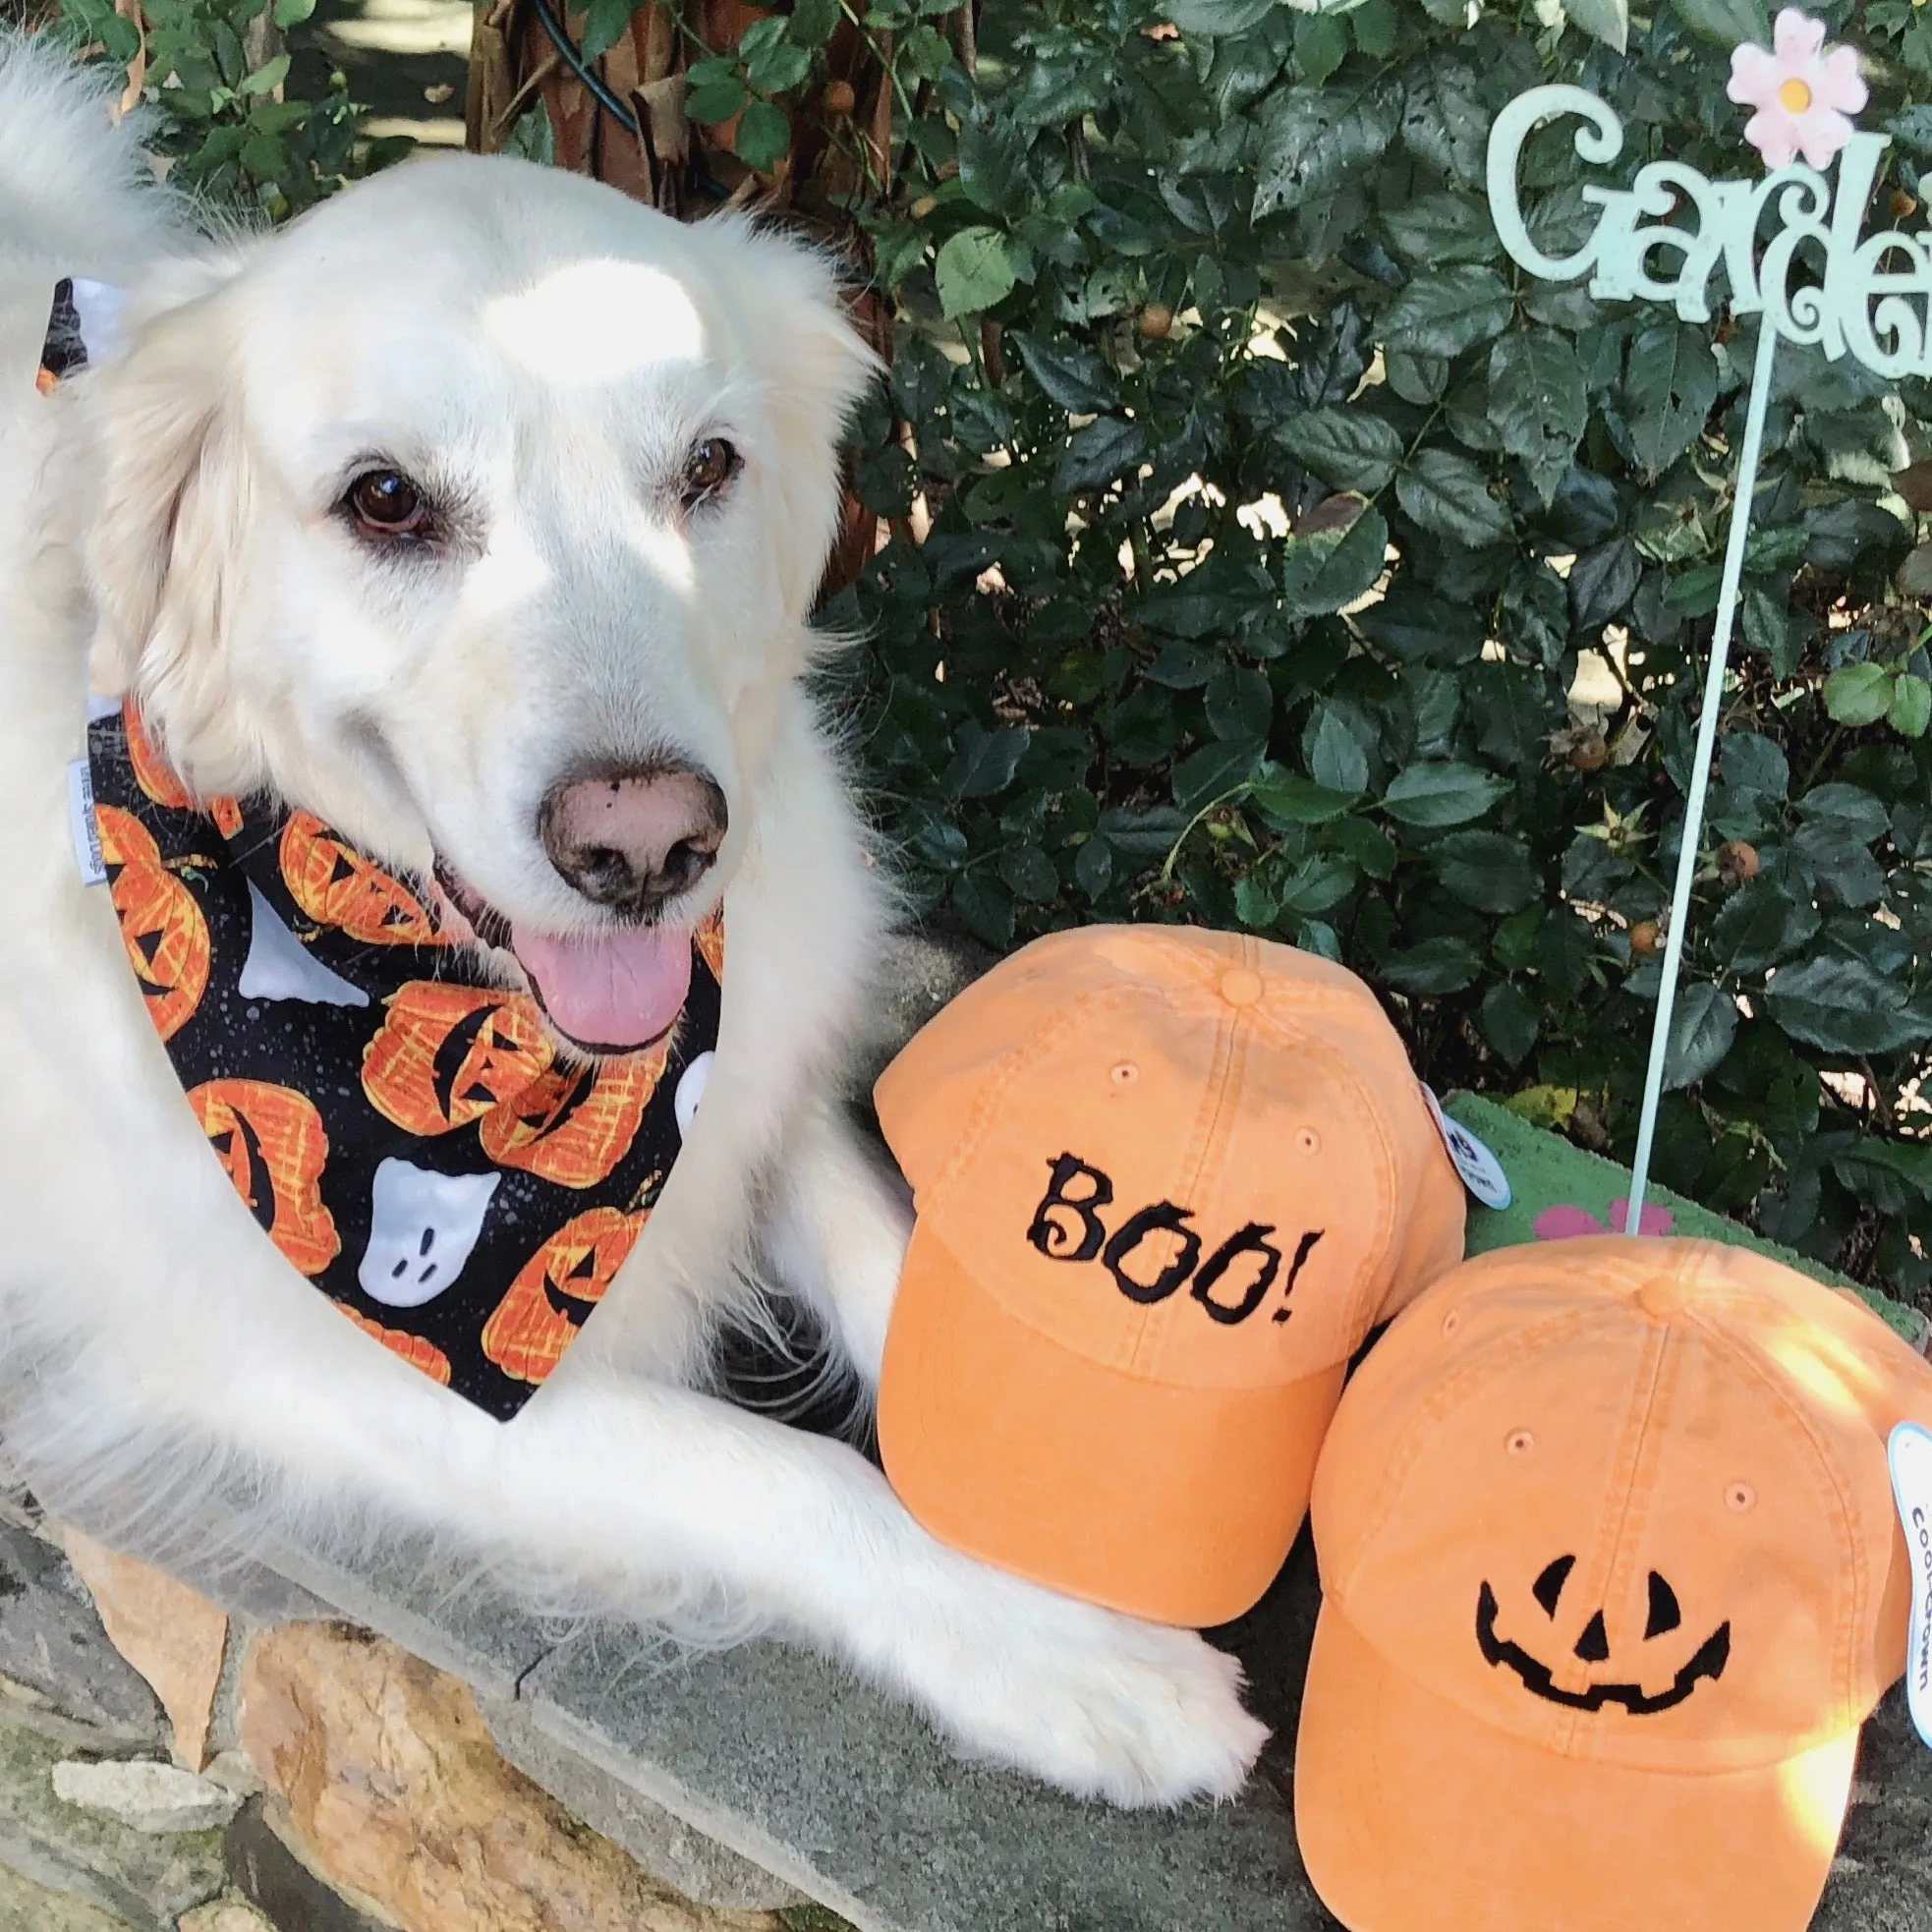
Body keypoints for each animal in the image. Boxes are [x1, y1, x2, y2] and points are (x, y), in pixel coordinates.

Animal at [0, 37, 1267, 1800]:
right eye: (383, 499)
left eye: (707, 470)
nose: (649, 846)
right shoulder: (328, 1363)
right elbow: (775, 1473)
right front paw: (1068, 1652)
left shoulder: (755, 1068)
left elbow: (893, 1258)